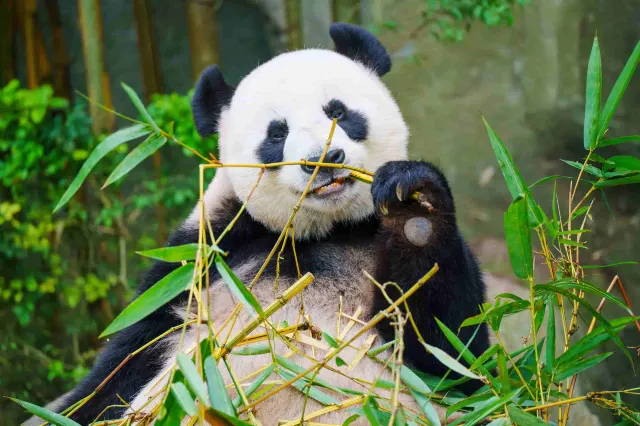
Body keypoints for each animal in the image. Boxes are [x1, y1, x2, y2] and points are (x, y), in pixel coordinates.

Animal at [50, 24, 490, 426]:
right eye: (276, 133)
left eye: (338, 112)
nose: (323, 159)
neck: (323, 231)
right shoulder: (203, 260)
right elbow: (123, 365)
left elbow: (454, 354)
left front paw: (414, 207)